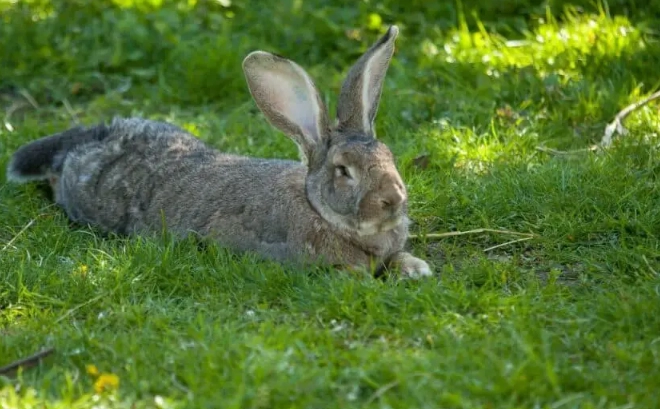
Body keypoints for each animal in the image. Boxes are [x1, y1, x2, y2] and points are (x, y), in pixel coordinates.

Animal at [6, 25, 432, 278]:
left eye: (389, 156)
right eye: (344, 170)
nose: (393, 200)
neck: (318, 208)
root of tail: (99, 135)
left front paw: (417, 268)